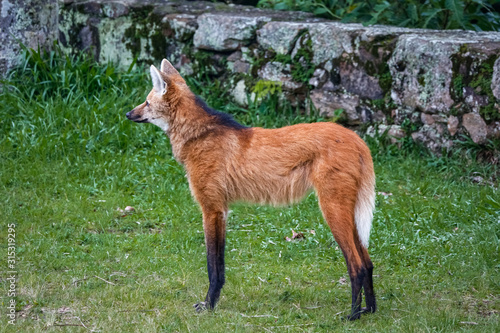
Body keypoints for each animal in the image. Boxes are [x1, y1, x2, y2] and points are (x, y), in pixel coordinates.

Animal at [125, 59, 376, 320]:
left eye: (146, 102)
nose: (127, 114)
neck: (197, 135)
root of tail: (358, 140)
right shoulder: (222, 210)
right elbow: (219, 265)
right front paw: (212, 303)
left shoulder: (212, 209)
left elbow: (213, 265)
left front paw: (208, 305)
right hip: (349, 212)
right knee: (368, 262)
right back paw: (370, 309)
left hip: (332, 209)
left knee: (356, 265)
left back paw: (353, 315)